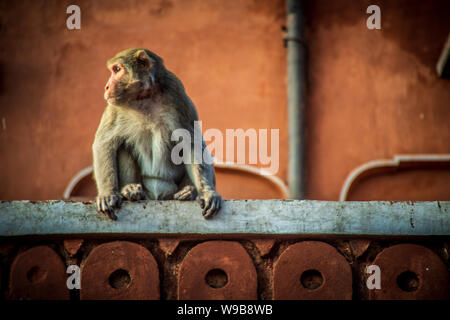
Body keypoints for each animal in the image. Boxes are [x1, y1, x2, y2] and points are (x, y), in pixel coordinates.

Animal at [92, 48, 222, 220]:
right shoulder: (114, 106)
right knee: (122, 146)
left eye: (117, 69)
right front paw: (107, 194)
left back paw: (189, 192)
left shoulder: (177, 93)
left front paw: (207, 192)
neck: (145, 97)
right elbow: (105, 143)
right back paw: (130, 190)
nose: (106, 87)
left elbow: (192, 144)